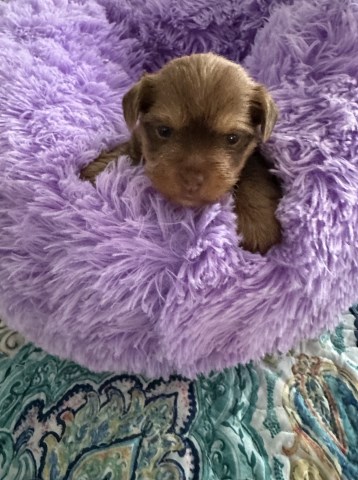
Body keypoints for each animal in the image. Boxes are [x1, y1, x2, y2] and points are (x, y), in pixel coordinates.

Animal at [82, 52, 282, 253]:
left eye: (232, 138)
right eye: (164, 131)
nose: (191, 181)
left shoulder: (255, 155)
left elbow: (253, 172)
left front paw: (257, 221)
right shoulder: (137, 140)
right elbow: (123, 153)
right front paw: (96, 173)